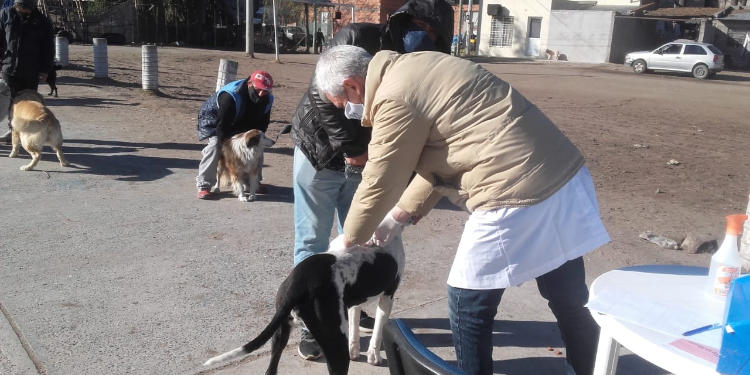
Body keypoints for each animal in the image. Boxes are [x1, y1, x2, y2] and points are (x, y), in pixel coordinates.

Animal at [204, 236, 406, 374]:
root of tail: (297, 284)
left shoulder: (356, 304)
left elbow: (355, 325)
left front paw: (355, 350)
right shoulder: (388, 297)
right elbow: (378, 331)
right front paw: (374, 356)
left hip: (280, 334)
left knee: (271, 369)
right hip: (334, 343)